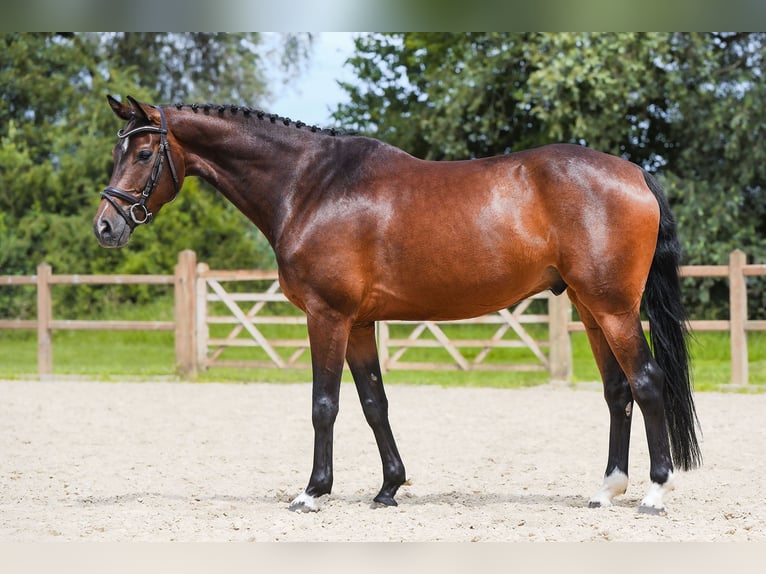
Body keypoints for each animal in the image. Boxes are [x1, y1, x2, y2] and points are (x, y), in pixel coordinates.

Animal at [94, 95, 701, 515]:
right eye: (117, 150)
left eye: (143, 152)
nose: (106, 226)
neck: (310, 185)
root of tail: (635, 172)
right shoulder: (360, 323)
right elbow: (373, 403)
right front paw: (389, 487)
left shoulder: (328, 316)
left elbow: (324, 404)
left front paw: (312, 492)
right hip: (590, 308)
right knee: (618, 391)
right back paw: (607, 490)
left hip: (615, 309)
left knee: (646, 382)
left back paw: (654, 492)